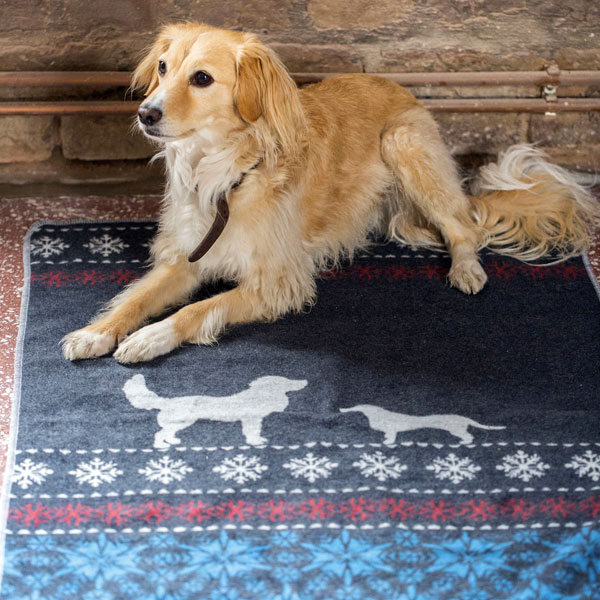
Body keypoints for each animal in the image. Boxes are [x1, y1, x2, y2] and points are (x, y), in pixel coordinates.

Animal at [63, 21, 596, 364]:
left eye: (202, 78)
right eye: (162, 67)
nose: (145, 113)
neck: (223, 174)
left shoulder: (279, 282)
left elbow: (197, 310)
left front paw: (149, 338)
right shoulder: (186, 259)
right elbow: (134, 299)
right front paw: (96, 333)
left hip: (403, 143)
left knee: (465, 229)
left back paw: (466, 269)